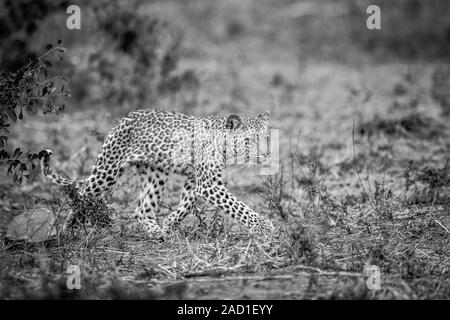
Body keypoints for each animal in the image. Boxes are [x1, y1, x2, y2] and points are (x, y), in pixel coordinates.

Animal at [39, 109, 274, 239]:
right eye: (248, 141)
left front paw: (169, 223)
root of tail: (126, 117)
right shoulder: (209, 184)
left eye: (267, 139)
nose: (267, 154)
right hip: (108, 170)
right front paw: (263, 225)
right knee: (82, 192)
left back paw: (155, 232)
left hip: (156, 174)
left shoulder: (195, 179)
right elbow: (238, 207)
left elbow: (187, 203)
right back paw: (67, 229)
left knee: (142, 209)